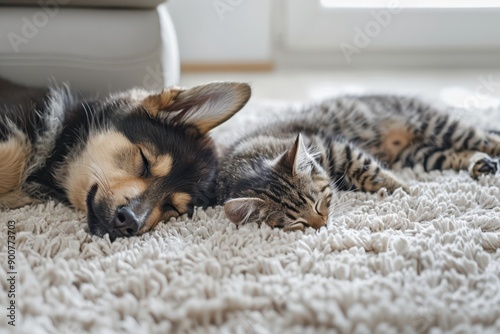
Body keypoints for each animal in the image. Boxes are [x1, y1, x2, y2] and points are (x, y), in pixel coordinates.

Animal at [217, 93, 500, 230]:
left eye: (317, 204)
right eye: (295, 222)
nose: (322, 226)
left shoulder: (340, 147)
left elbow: (371, 170)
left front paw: (407, 191)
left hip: (440, 126)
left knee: (485, 138)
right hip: (422, 154)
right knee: (457, 153)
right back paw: (480, 163)